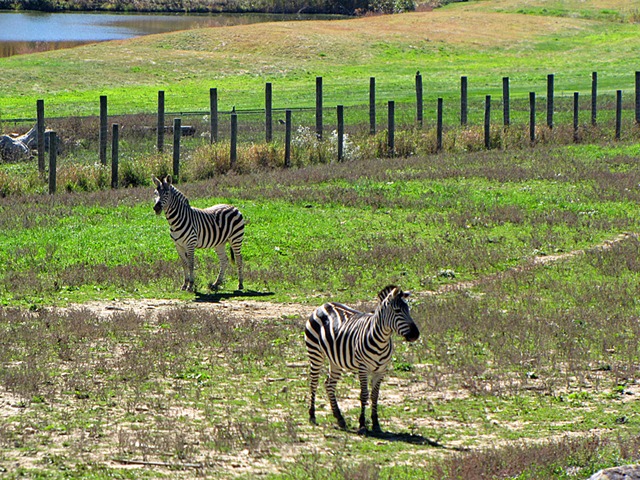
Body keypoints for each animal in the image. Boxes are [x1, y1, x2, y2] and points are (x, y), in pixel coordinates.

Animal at [305, 285, 420, 434]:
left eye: (408, 310)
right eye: (397, 311)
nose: (416, 334)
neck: (382, 341)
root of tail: (325, 304)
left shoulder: (381, 370)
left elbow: (375, 396)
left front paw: (376, 424)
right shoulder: (363, 368)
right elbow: (364, 395)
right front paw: (362, 425)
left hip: (335, 360)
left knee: (329, 384)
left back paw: (339, 418)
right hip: (315, 352)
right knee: (314, 383)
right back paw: (312, 415)